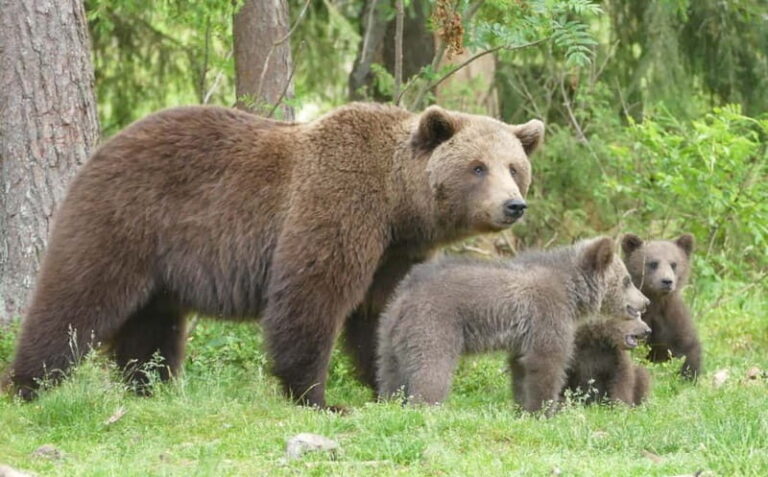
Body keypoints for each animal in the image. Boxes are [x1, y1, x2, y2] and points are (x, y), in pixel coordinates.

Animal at [5, 102, 544, 409]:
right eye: (477, 167)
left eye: (515, 167)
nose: (512, 205)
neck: (396, 205)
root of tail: (103, 147)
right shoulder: (337, 205)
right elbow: (311, 297)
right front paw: (318, 398)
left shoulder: (393, 254)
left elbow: (380, 313)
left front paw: (388, 386)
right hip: (125, 220)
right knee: (76, 299)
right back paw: (27, 385)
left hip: (161, 266)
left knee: (151, 325)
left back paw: (153, 388)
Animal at [375, 236, 650, 412]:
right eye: (627, 280)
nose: (645, 302)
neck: (572, 292)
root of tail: (406, 294)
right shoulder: (547, 315)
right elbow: (547, 362)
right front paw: (544, 410)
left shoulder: (523, 337)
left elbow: (520, 369)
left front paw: (521, 407)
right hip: (435, 324)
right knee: (432, 369)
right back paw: (427, 408)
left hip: (390, 335)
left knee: (390, 373)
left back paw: (390, 404)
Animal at [621, 233, 701, 379]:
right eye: (653, 263)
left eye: (673, 264)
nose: (667, 281)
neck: (656, 301)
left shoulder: (673, 319)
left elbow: (688, 348)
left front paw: (688, 375)